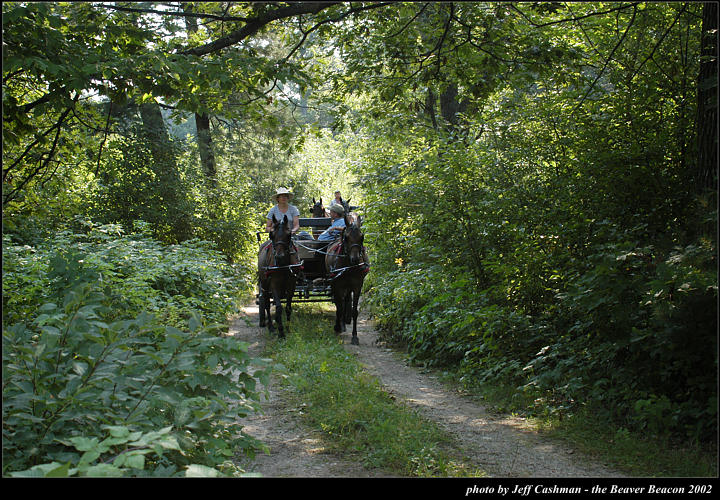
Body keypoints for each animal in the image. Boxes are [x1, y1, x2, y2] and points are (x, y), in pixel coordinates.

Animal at [326, 217, 372, 346]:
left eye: (362, 237)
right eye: (346, 237)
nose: (355, 259)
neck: (348, 267)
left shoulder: (357, 286)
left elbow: (354, 311)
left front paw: (355, 336)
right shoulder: (337, 286)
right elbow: (339, 307)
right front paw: (337, 327)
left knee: (346, 301)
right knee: (340, 304)